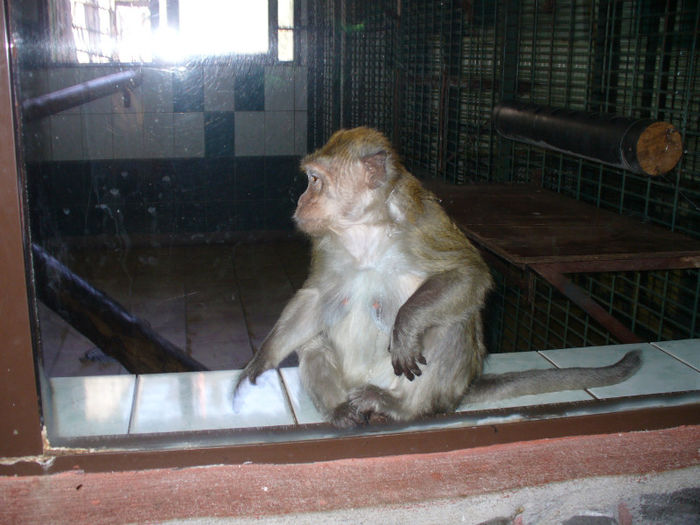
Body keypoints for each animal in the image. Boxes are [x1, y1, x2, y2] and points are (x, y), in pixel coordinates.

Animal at [235, 126, 640, 426]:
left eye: (316, 180)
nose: (302, 201)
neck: (365, 227)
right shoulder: (325, 242)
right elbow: (316, 296)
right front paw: (260, 361)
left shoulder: (423, 224)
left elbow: (469, 273)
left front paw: (404, 328)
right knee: (314, 341)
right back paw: (341, 410)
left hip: (418, 383)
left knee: (453, 324)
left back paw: (401, 408)